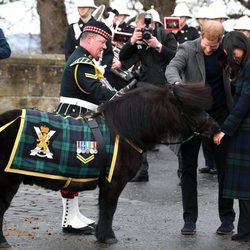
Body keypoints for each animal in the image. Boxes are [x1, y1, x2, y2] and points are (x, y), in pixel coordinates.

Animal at [0, 83, 219, 246]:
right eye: (189, 107)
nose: (215, 127)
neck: (124, 130)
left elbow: (106, 208)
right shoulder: (113, 182)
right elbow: (109, 208)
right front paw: (107, 237)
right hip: (7, 181)